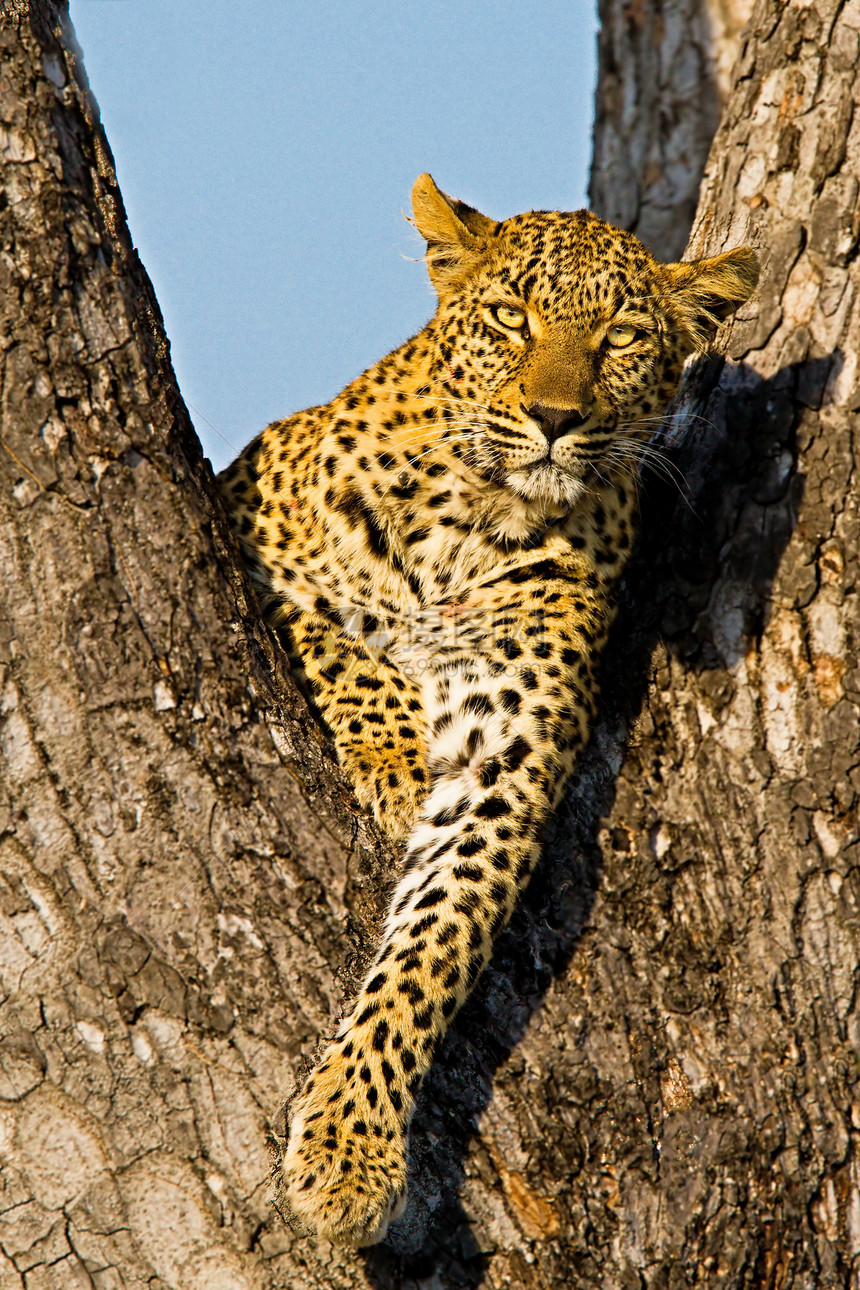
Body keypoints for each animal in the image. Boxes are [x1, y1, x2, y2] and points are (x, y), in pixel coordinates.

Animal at [219, 174, 758, 1248]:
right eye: (514, 318)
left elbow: (431, 949)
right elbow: (332, 627)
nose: (553, 417)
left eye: (621, 337)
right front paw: (393, 751)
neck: (476, 520)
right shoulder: (247, 523)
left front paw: (350, 1146)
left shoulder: (503, 761)